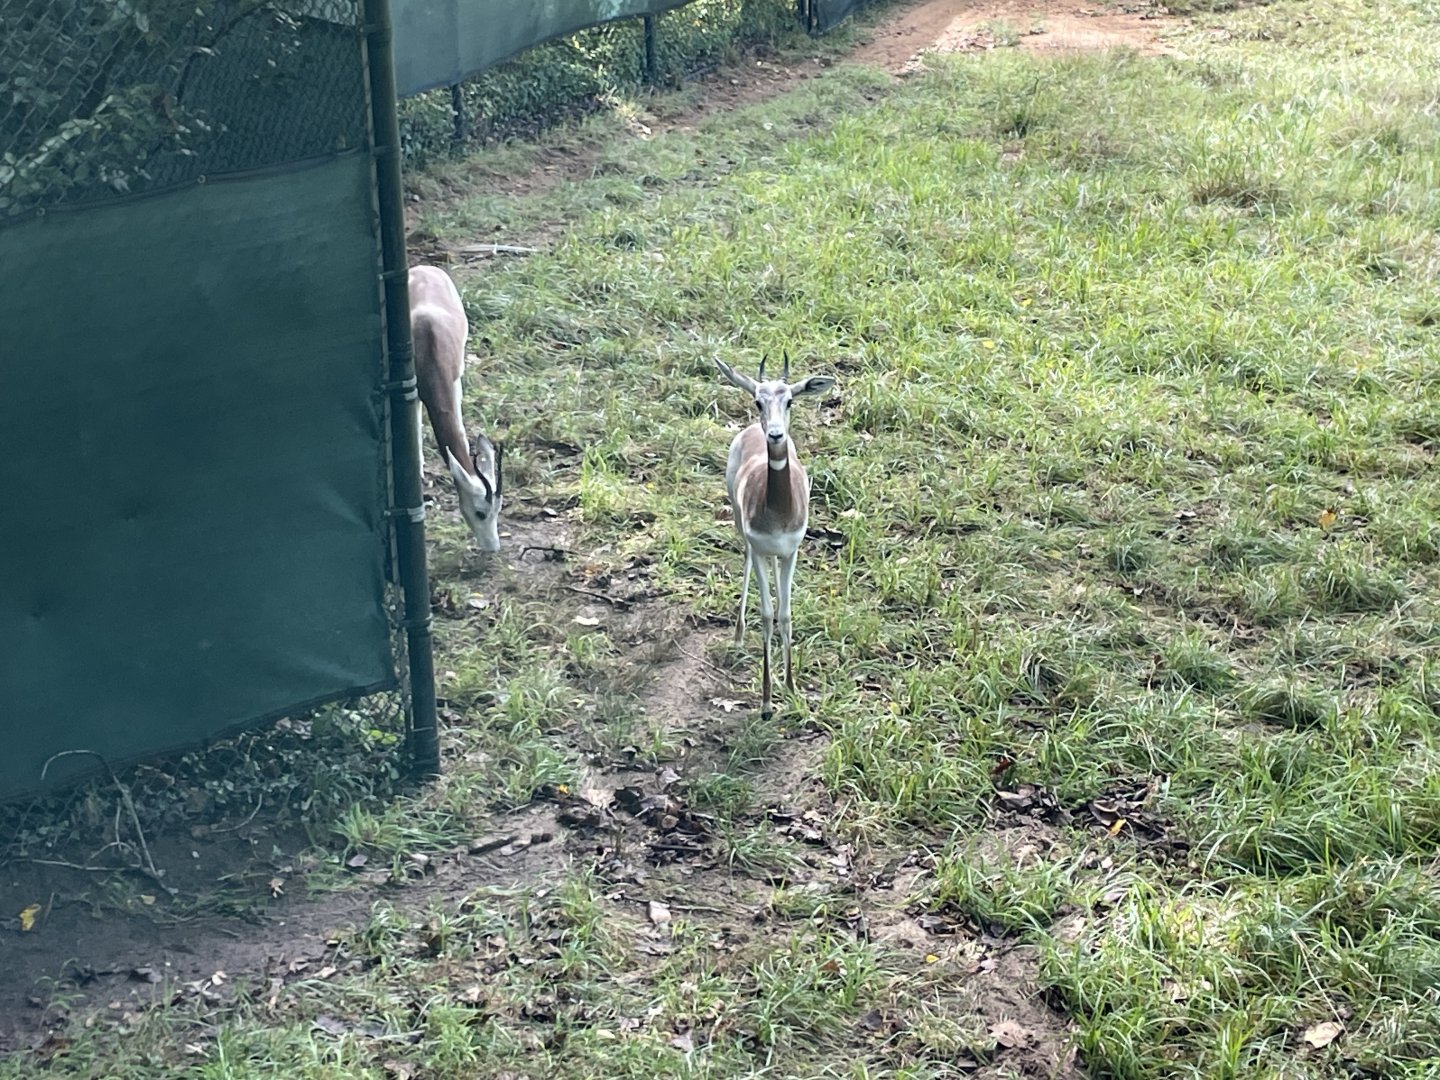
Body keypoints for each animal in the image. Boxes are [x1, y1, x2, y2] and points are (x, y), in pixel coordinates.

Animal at [715, 354, 836, 719]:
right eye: (758, 401)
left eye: (790, 400)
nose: (775, 433)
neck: (779, 511)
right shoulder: (760, 549)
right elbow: (768, 616)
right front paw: (767, 702)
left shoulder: (791, 551)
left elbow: (785, 614)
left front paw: (792, 688)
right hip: (739, 522)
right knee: (743, 559)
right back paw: (738, 636)